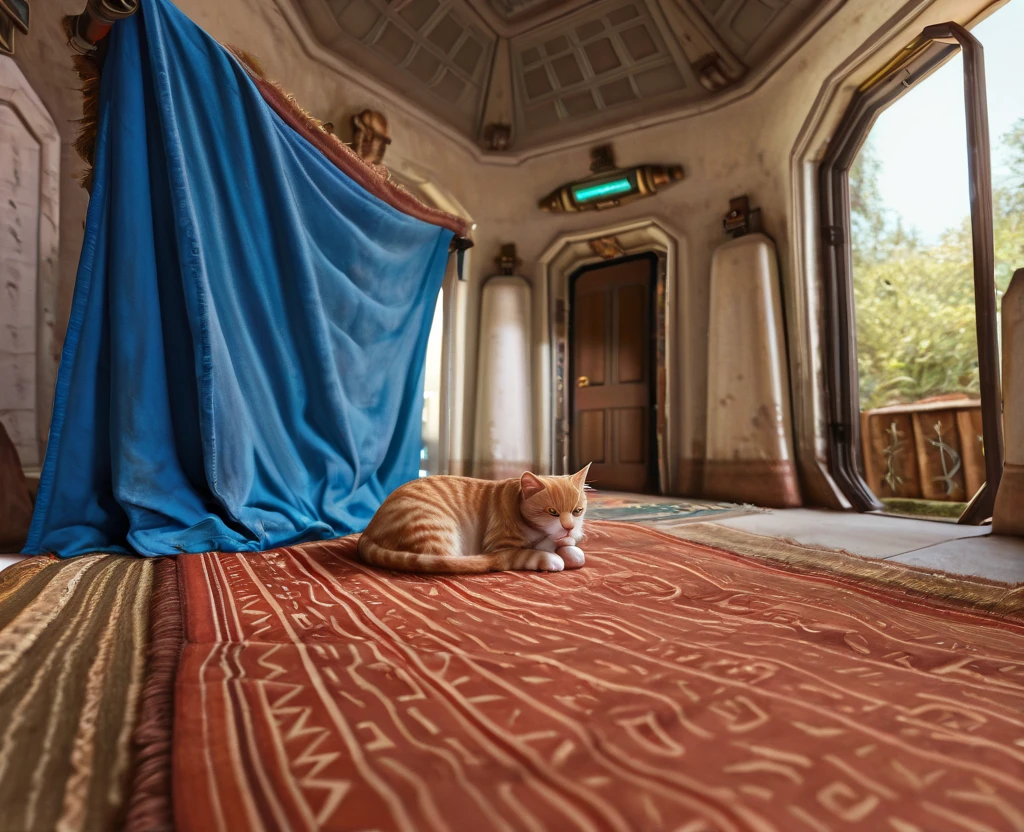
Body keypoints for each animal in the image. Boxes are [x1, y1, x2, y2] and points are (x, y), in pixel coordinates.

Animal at [358, 465, 593, 573]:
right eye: (552, 511)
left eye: (577, 511)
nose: (569, 527)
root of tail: (368, 531)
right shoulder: (498, 544)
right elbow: (524, 552)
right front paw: (552, 554)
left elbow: (574, 550)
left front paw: (569, 547)